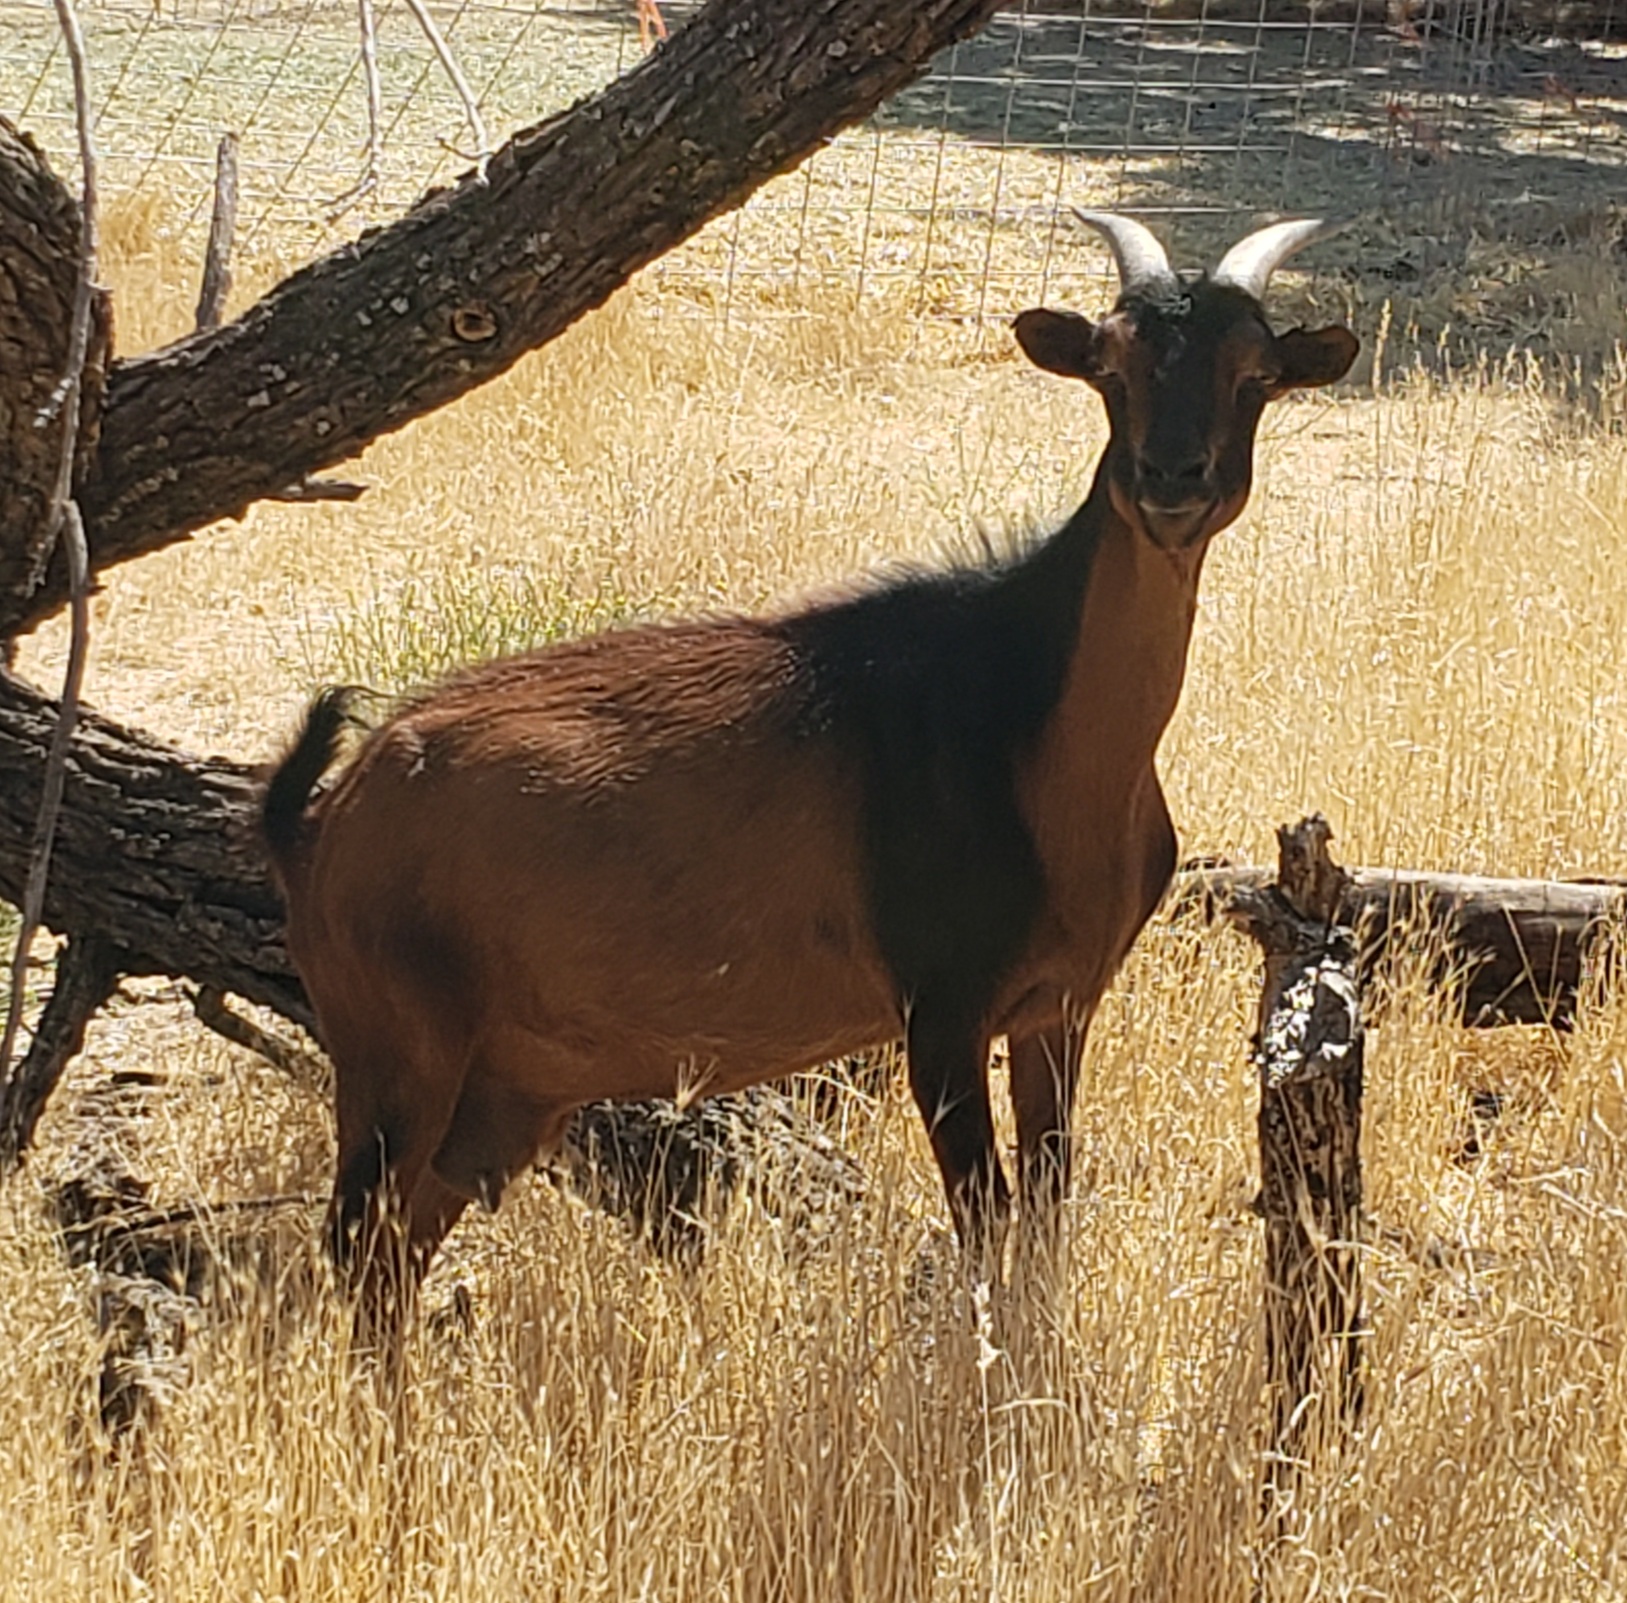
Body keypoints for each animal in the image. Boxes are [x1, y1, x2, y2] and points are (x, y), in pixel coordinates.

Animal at [262, 213, 1357, 1327]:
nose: (1172, 481)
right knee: (357, 1246)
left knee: (397, 1251)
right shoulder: (939, 1016)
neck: (1025, 720)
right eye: (1109, 365)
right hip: (396, 1052)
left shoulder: (1058, 1008)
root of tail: (319, 822)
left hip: (499, 1088)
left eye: (1256, 373)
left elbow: (1045, 1221)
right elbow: (984, 1228)